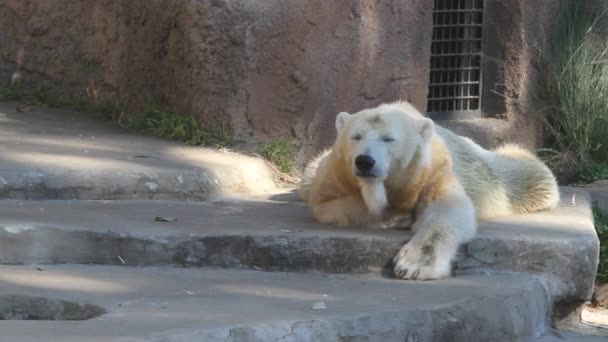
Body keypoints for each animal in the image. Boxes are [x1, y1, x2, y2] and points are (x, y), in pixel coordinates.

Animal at [300, 101, 560, 280]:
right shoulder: (336, 172)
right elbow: (327, 202)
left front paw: (414, 265)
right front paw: (395, 216)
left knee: (529, 175)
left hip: (493, 175)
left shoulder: (432, 170)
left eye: (389, 139)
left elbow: (448, 208)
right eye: (356, 136)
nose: (365, 161)